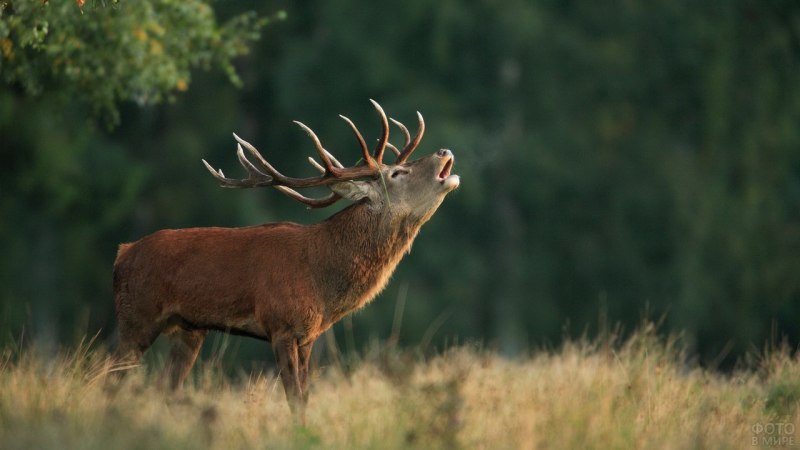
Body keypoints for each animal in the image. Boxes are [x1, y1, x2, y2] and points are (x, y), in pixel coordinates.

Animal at [112, 100, 459, 422]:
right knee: (109, 379)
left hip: (188, 330)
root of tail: (122, 254)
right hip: (136, 317)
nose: (444, 151)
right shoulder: (281, 325)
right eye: (397, 173)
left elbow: (304, 398)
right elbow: (294, 399)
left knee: (165, 387)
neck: (322, 278)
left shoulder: (307, 336)